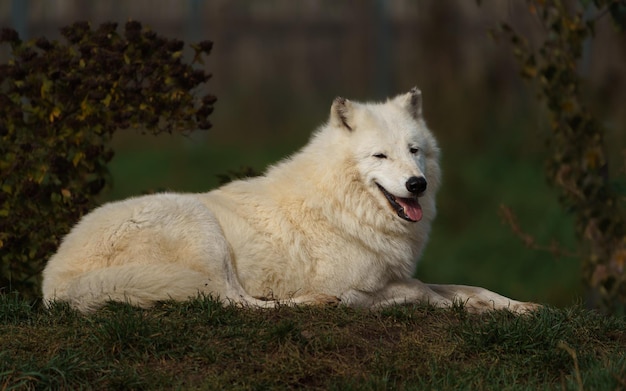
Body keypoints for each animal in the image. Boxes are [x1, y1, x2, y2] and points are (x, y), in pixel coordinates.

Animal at [40, 89, 536, 316]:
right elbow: (422, 292)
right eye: (380, 156)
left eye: (414, 150)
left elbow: (467, 286)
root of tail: (52, 282)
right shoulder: (360, 287)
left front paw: (522, 308)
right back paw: (313, 302)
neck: (344, 208)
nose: (416, 185)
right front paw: (462, 308)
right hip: (202, 230)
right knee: (234, 302)